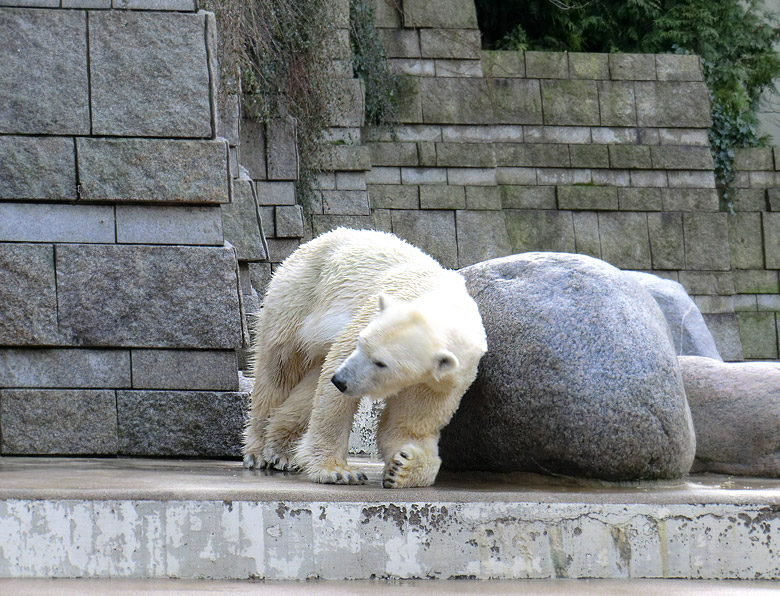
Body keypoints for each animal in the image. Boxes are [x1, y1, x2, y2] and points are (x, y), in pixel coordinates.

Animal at [244, 228, 488, 488]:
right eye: (361, 344)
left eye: (381, 363)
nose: (340, 380)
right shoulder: (370, 317)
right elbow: (334, 390)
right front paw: (338, 471)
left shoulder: (440, 381)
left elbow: (406, 425)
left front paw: (402, 467)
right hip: (298, 296)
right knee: (279, 369)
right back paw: (259, 451)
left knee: (308, 387)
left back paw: (281, 449)